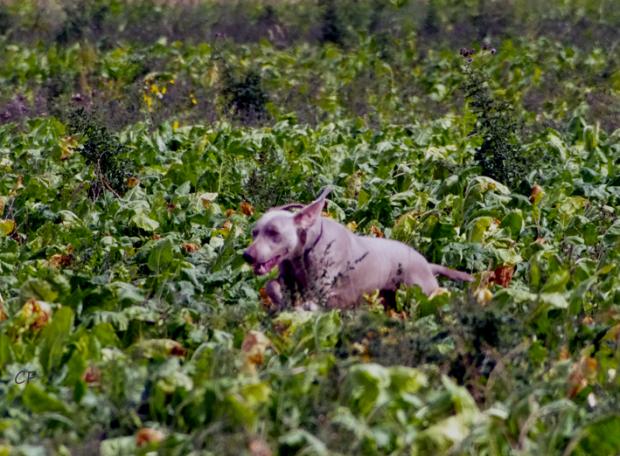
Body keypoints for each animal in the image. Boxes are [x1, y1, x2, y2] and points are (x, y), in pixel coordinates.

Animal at [242, 186, 470, 310]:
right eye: (254, 232)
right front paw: (283, 301)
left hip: (419, 292)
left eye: (274, 232)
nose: (247, 255)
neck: (304, 251)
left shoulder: (323, 289)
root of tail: (427, 264)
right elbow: (271, 285)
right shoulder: (288, 275)